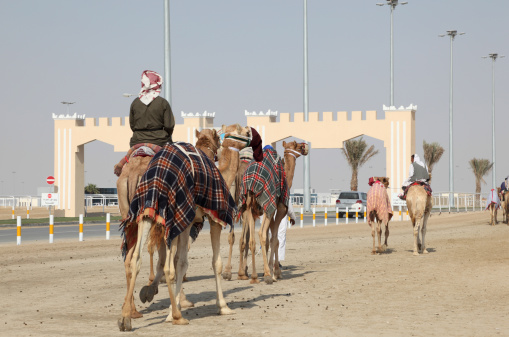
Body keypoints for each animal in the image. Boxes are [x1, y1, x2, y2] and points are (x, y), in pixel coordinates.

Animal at [236, 140, 308, 282]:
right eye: (297, 145)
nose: (306, 147)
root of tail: (250, 183)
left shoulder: (267, 210)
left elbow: (271, 240)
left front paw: (271, 269)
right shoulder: (278, 208)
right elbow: (275, 239)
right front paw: (275, 272)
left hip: (248, 207)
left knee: (248, 239)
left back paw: (249, 275)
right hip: (265, 206)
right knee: (260, 234)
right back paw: (267, 276)